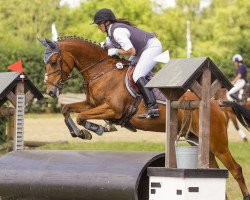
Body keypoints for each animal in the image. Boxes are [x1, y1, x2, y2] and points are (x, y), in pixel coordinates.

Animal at [38, 37, 249, 198]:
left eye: (54, 62)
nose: (50, 91)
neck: (101, 72)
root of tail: (215, 103)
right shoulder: (92, 104)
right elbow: (67, 109)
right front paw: (80, 132)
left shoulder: (113, 110)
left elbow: (82, 116)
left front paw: (95, 130)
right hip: (199, 142)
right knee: (214, 169)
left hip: (217, 142)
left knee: (236, 169)